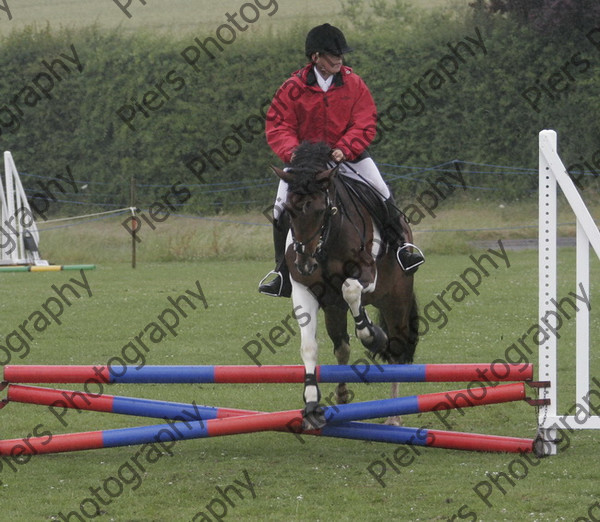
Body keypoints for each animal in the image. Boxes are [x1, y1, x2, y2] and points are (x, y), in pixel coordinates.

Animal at [274, 140, 420, 424]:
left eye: (322, 210)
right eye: (289, 212)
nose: (305, 264)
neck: (327, 242)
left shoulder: (367, 273)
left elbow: (351, 289)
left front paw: (373, 336)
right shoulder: (304, 289)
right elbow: (309, 346)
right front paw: (311, 403)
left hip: (396, 300)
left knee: (396, 349)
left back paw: (394, 414)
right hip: (333, 309)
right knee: (342, 346)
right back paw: (342, 394)